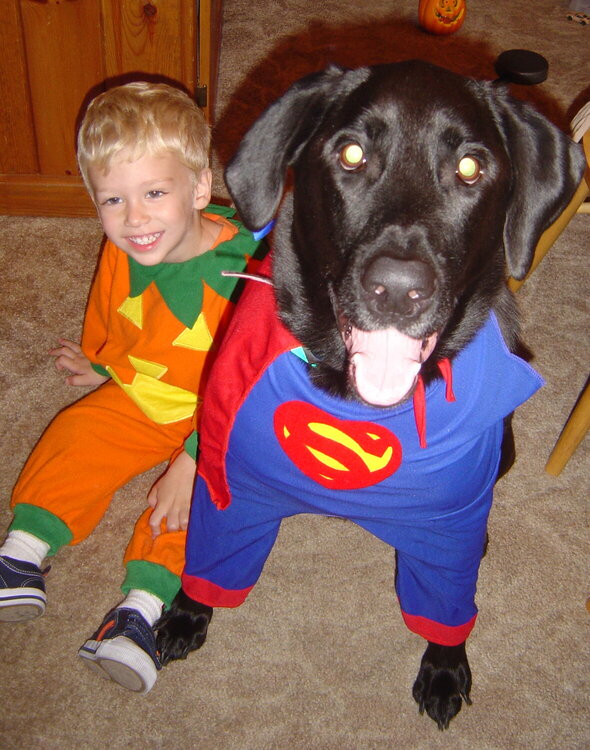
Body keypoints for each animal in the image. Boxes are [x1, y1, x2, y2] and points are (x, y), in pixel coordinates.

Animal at [157, 61, 588, 732]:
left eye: (470, 167)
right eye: (352, 155)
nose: (398, 289)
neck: (358, 401)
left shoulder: (449, 529)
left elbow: (446, 610)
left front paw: (444, 670)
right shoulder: (233, 488)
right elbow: (210, 562)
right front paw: (186, 612)